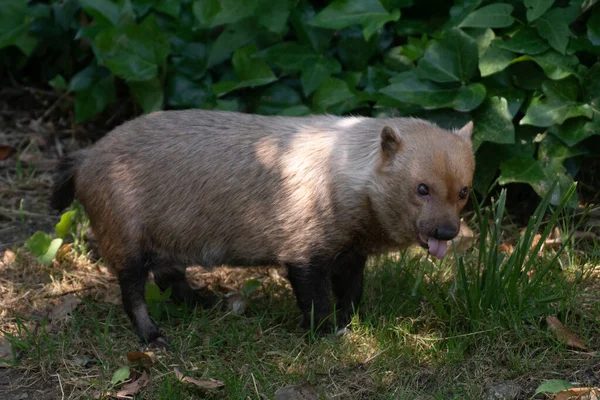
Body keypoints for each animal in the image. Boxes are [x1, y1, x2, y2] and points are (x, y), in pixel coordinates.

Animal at [50, 109, 474, 346]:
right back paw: (153, 337)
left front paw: (351, 323)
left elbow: (352, 292)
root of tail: (85, 158)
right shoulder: (305, 252)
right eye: (422, 188)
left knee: (171, 278)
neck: (344, 172)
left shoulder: (351, 252)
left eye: (464, 191)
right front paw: (326, 334)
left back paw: (208, 301)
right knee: (134, 292)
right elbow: (316, 298)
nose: (446, 233)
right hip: (126, 240)